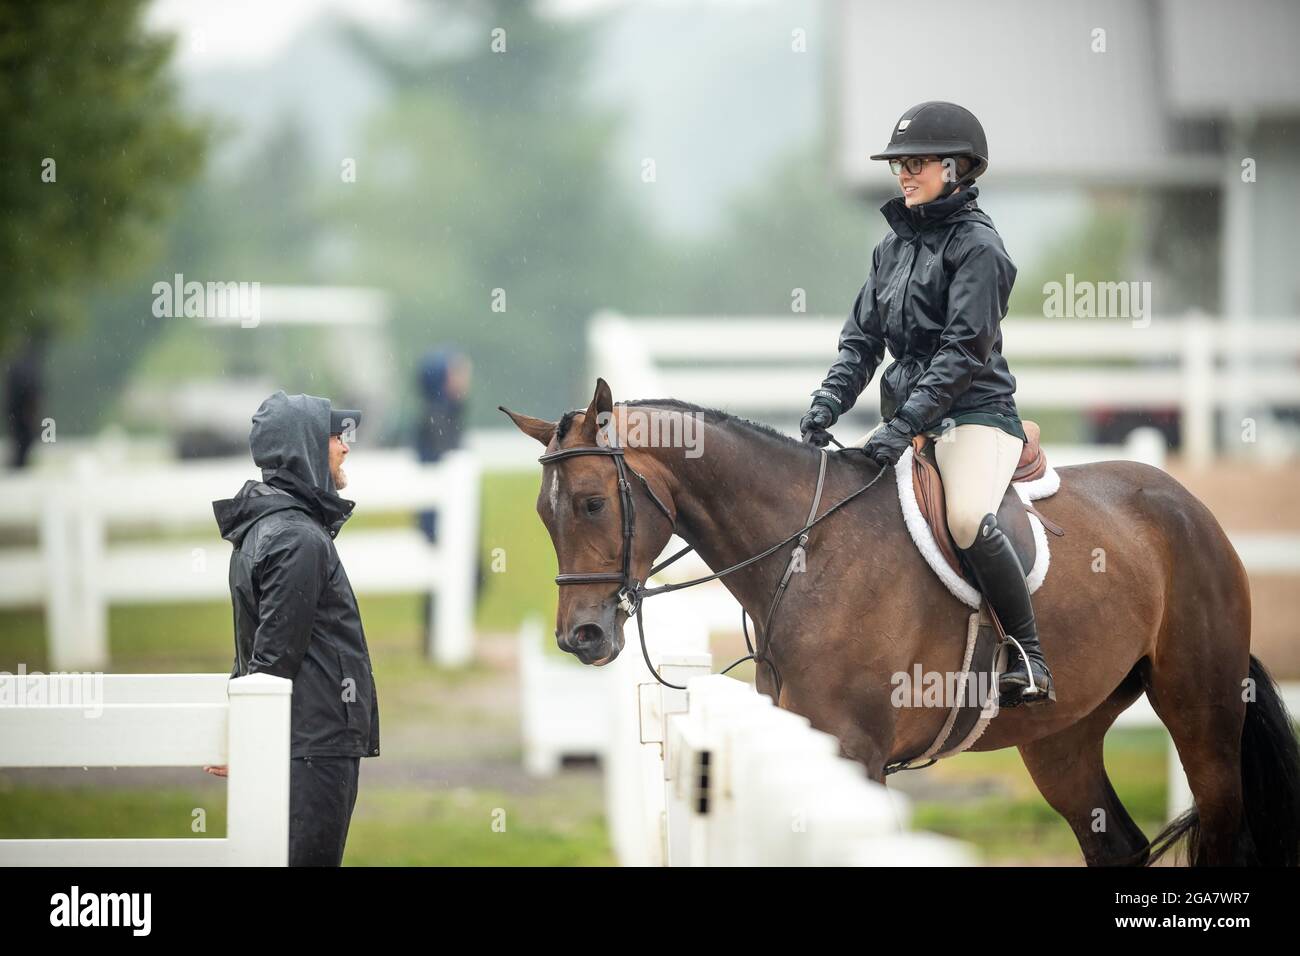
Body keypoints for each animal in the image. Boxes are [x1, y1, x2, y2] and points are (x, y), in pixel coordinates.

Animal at [499, 382, 1300, 868]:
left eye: (594, 502)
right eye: (543, 512)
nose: (581, 638)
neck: (806, 552)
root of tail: (1186, 504)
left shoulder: (857, 753)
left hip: (1201, 715)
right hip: (1063, 739)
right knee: (1115, 843)